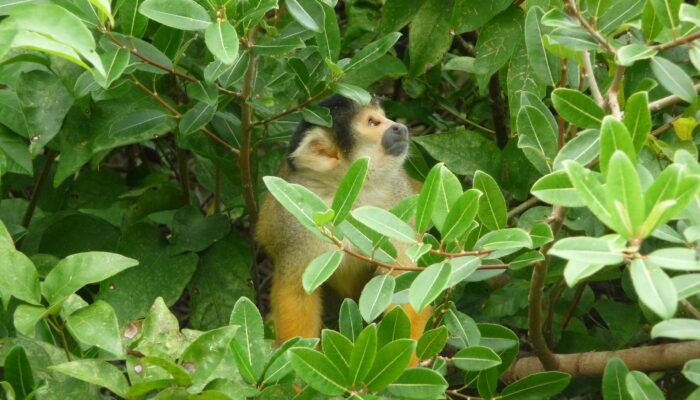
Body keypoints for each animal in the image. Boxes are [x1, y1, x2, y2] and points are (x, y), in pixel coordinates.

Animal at [258, 94, 432, 350]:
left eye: (383, 117)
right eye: (372, 123)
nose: (399, 127)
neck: (349, 192)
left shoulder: (396, 202)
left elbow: (405, 283)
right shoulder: (295, 221)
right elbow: (296, 290)